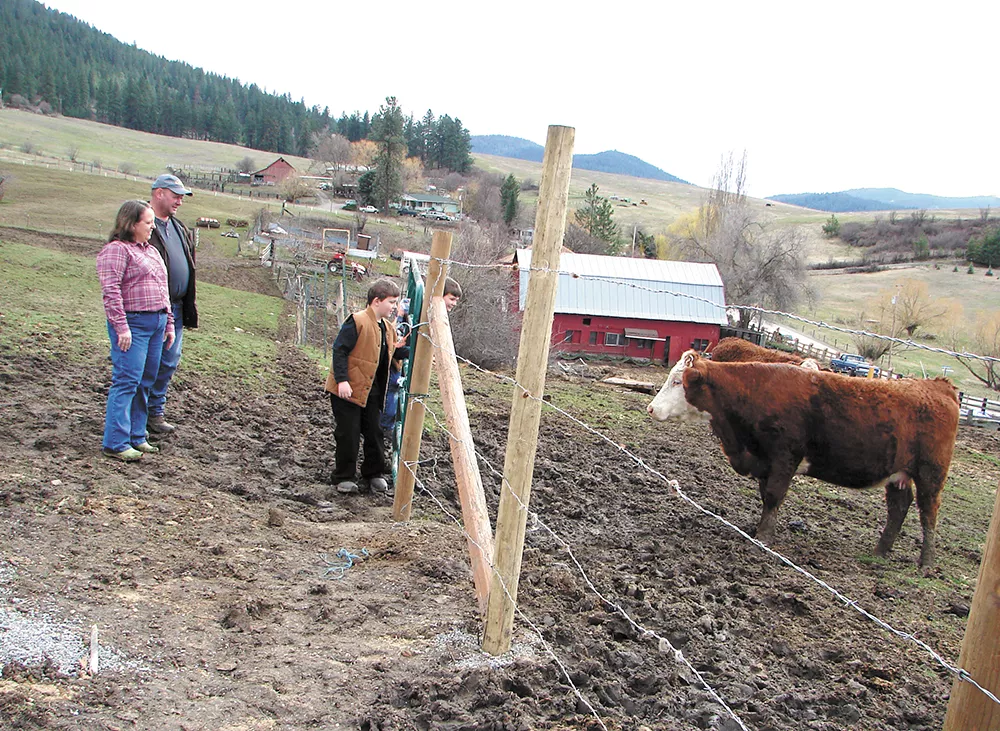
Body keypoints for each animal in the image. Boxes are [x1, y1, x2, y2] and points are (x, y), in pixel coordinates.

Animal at [648, 352, 960, 568]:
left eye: (677, 381)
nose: (651, 408)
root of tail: (938, 386)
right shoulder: (765, 462)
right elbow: (765, 497)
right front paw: (758, 529)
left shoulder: (784, 456)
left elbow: (773, 496)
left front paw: (763, 539)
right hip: (898, 473)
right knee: (899, 507)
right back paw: (880, 552)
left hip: (931, 472)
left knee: (928, 512)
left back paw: (926, 563)